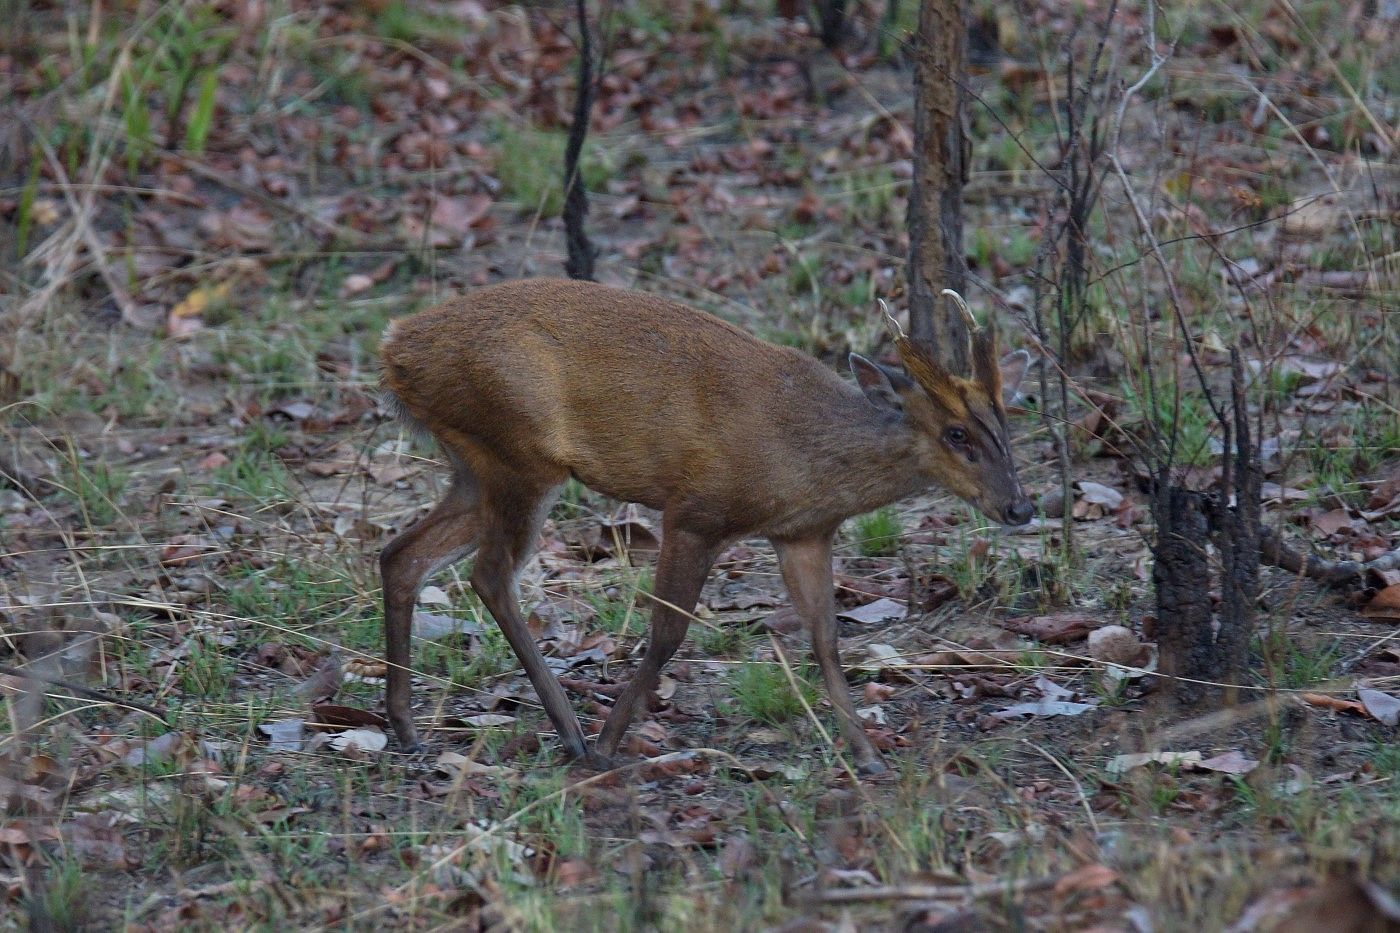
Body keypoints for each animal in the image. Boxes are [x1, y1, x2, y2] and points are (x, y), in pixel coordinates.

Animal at [378, 275, 1036, 767]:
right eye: (956, 434)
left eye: (1005, 424)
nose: (1020, 507)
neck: (804, 458)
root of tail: (394, 345)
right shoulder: (696, 511)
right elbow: (668, 633)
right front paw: (610, 743)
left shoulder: (802, 533)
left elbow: (826, 639)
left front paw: (867, 755)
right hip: (520, 453)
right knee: (489, 574)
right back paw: (572, 735)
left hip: (475, 464)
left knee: (402, 554)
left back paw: (407, 728)